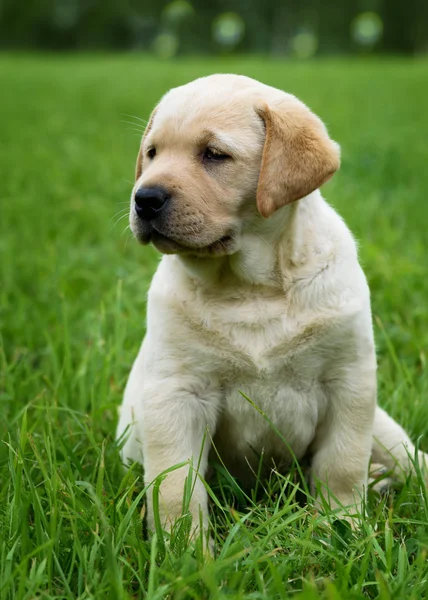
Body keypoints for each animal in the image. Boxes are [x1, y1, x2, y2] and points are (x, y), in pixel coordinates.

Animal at [116, 72, 424, 536]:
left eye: (214, 154)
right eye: (152, 153)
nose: (144, 198)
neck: (251, 287)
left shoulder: (349, 382)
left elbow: (341, 464)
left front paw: (341, 527)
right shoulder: (175, 393)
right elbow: (175, 487)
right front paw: (181, 548)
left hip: (383, 428)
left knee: (407, 460)